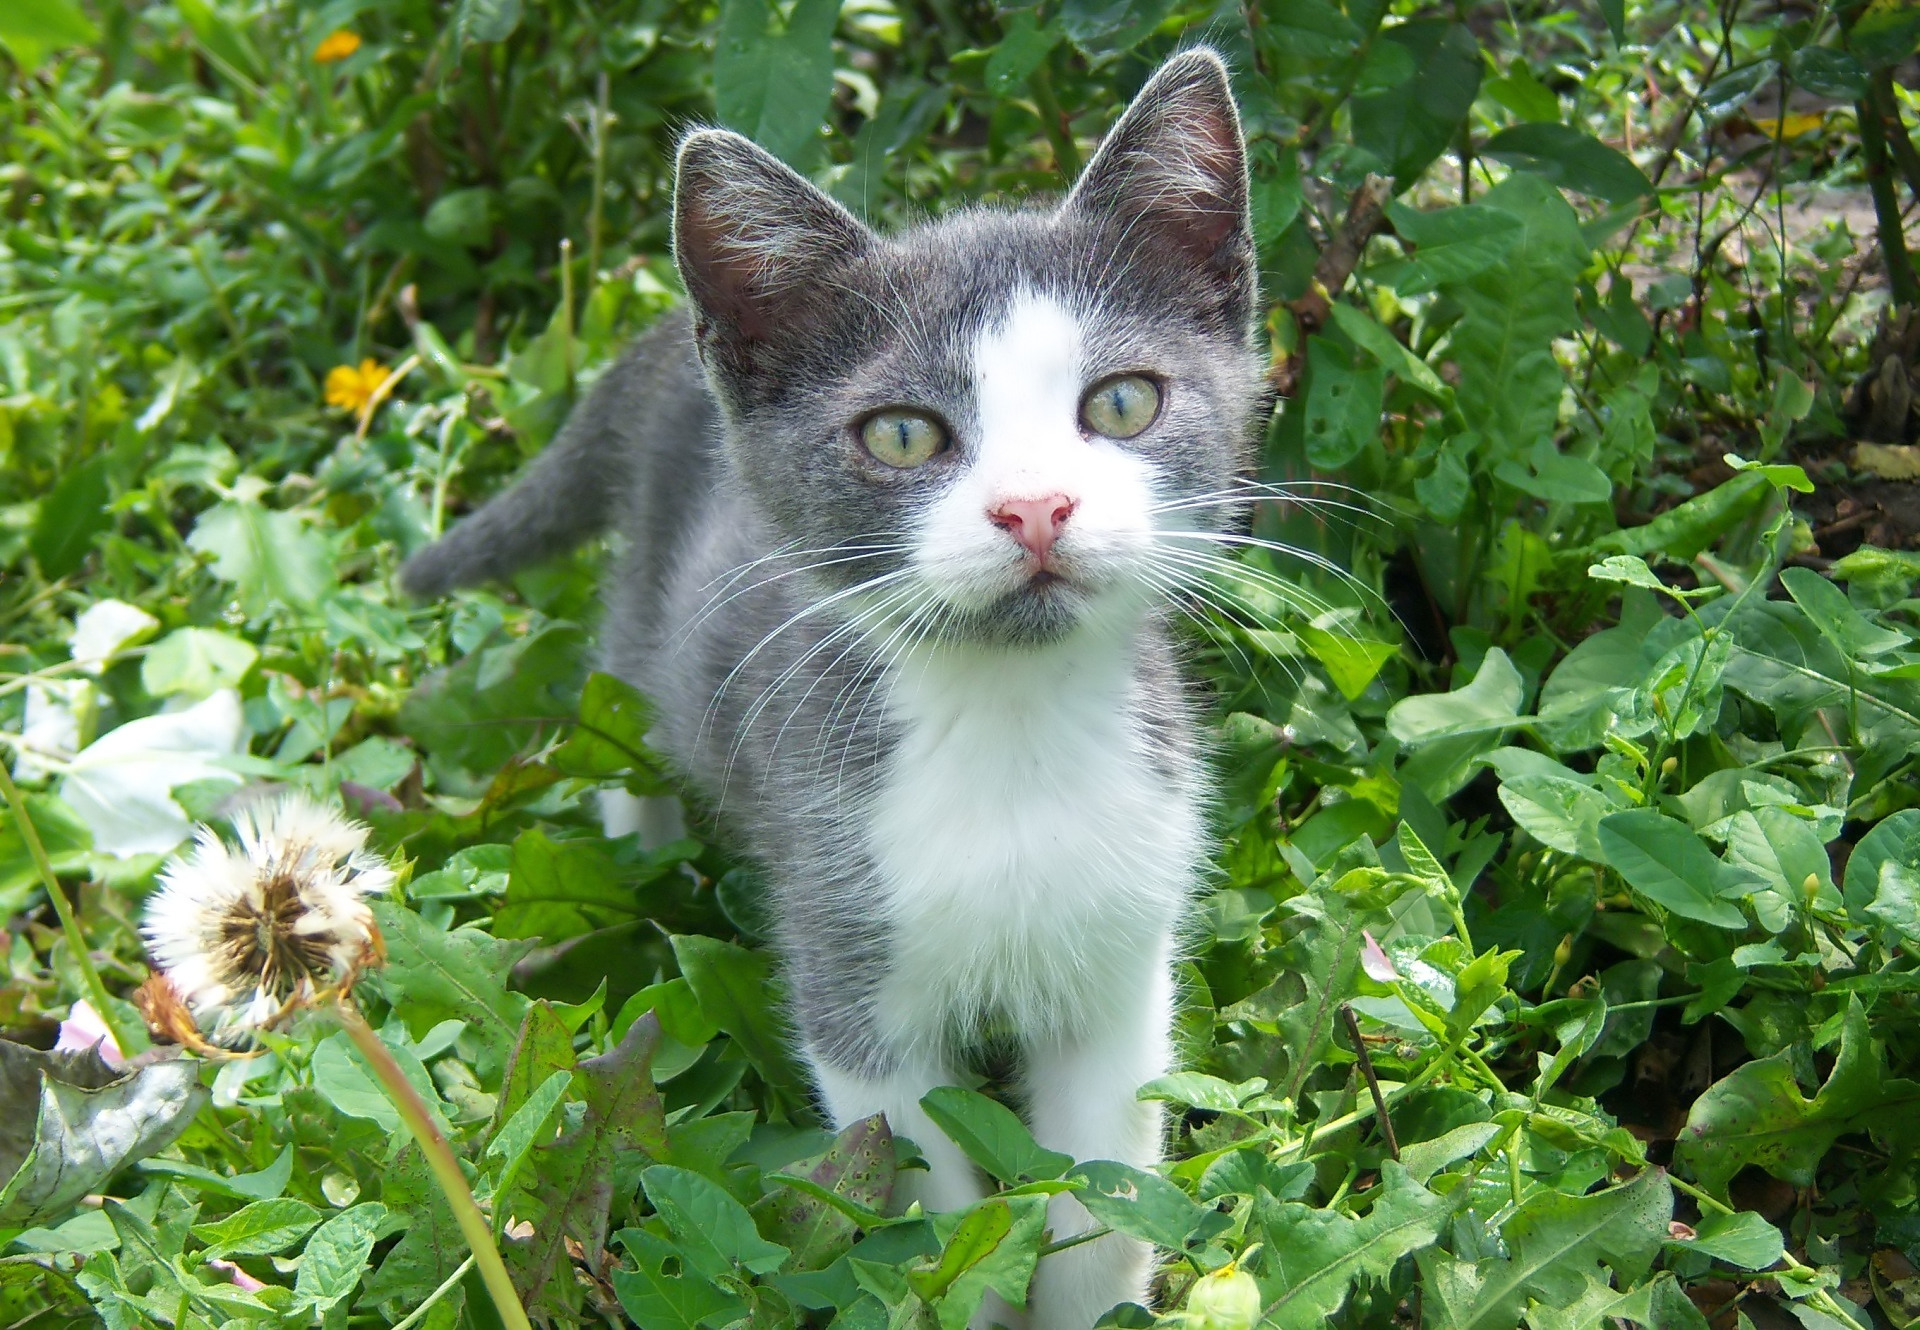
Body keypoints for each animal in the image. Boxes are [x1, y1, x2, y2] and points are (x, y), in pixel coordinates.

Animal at [405, 46, 1267, 1320]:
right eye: (903, 435)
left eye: (1122, 402)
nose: (1035, 507)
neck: (1011, 729)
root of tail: (663, 343)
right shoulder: (845, 955)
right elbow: (922, 1198)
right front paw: (954, 1282)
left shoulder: (1124, 965)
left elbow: (1103, 1193)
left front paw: (1089, 1297)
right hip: (655, 631)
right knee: (625, 695)